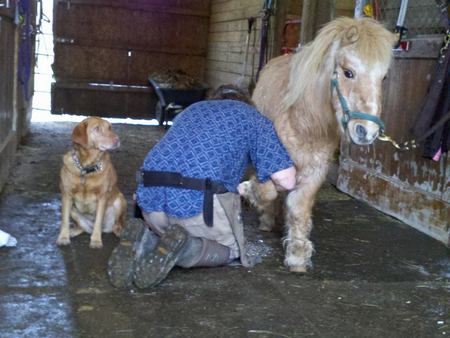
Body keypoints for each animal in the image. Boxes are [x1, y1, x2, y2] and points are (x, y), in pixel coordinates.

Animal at [57, 117, 126, 248]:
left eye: (109, 128)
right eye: (97, 128)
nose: (118, 140)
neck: (87, 169)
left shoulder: (102, 197)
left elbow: (98, 221)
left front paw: (96, 240)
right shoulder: (66, 195)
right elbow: (64, 221)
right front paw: (63, 237)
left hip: (120, 200)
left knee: (117, 223)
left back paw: (119, 231)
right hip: (73, 210)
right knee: (81, 228)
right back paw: (73, 231)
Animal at [241, 17, 396, 272]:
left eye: (383, 78)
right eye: (348, 72)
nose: (367, 132)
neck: (305, 124)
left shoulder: (315, 170)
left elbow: (298, 206)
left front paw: (297, 255)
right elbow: (268, 191)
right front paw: (250, 192)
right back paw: (266, 219)